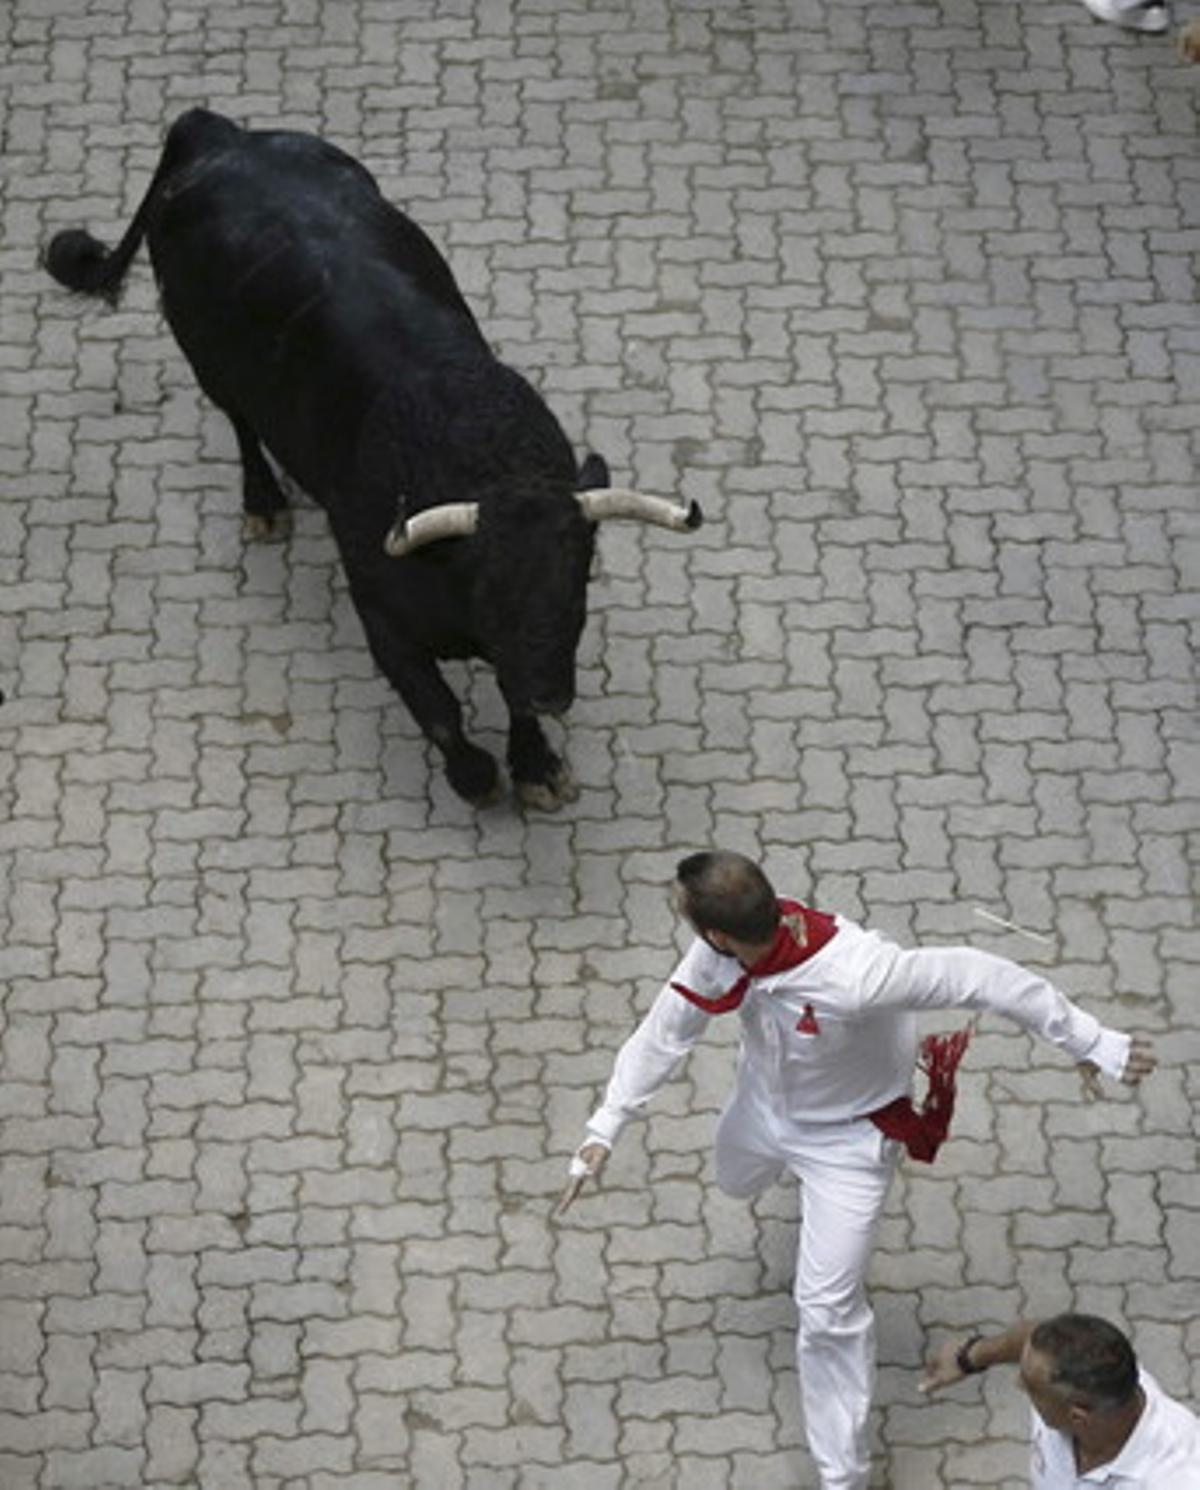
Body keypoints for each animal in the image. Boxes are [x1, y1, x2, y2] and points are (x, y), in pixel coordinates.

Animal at [46, 110, 703, 810]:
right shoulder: (382, 618)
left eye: (579, 576)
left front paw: (537, 767)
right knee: (242, 423)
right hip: (207, 361)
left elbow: (507, 695)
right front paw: (475, 776)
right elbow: (438, 709)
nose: (553, 692)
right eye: (494, 587)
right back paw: (264, 503)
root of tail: (215, 133)